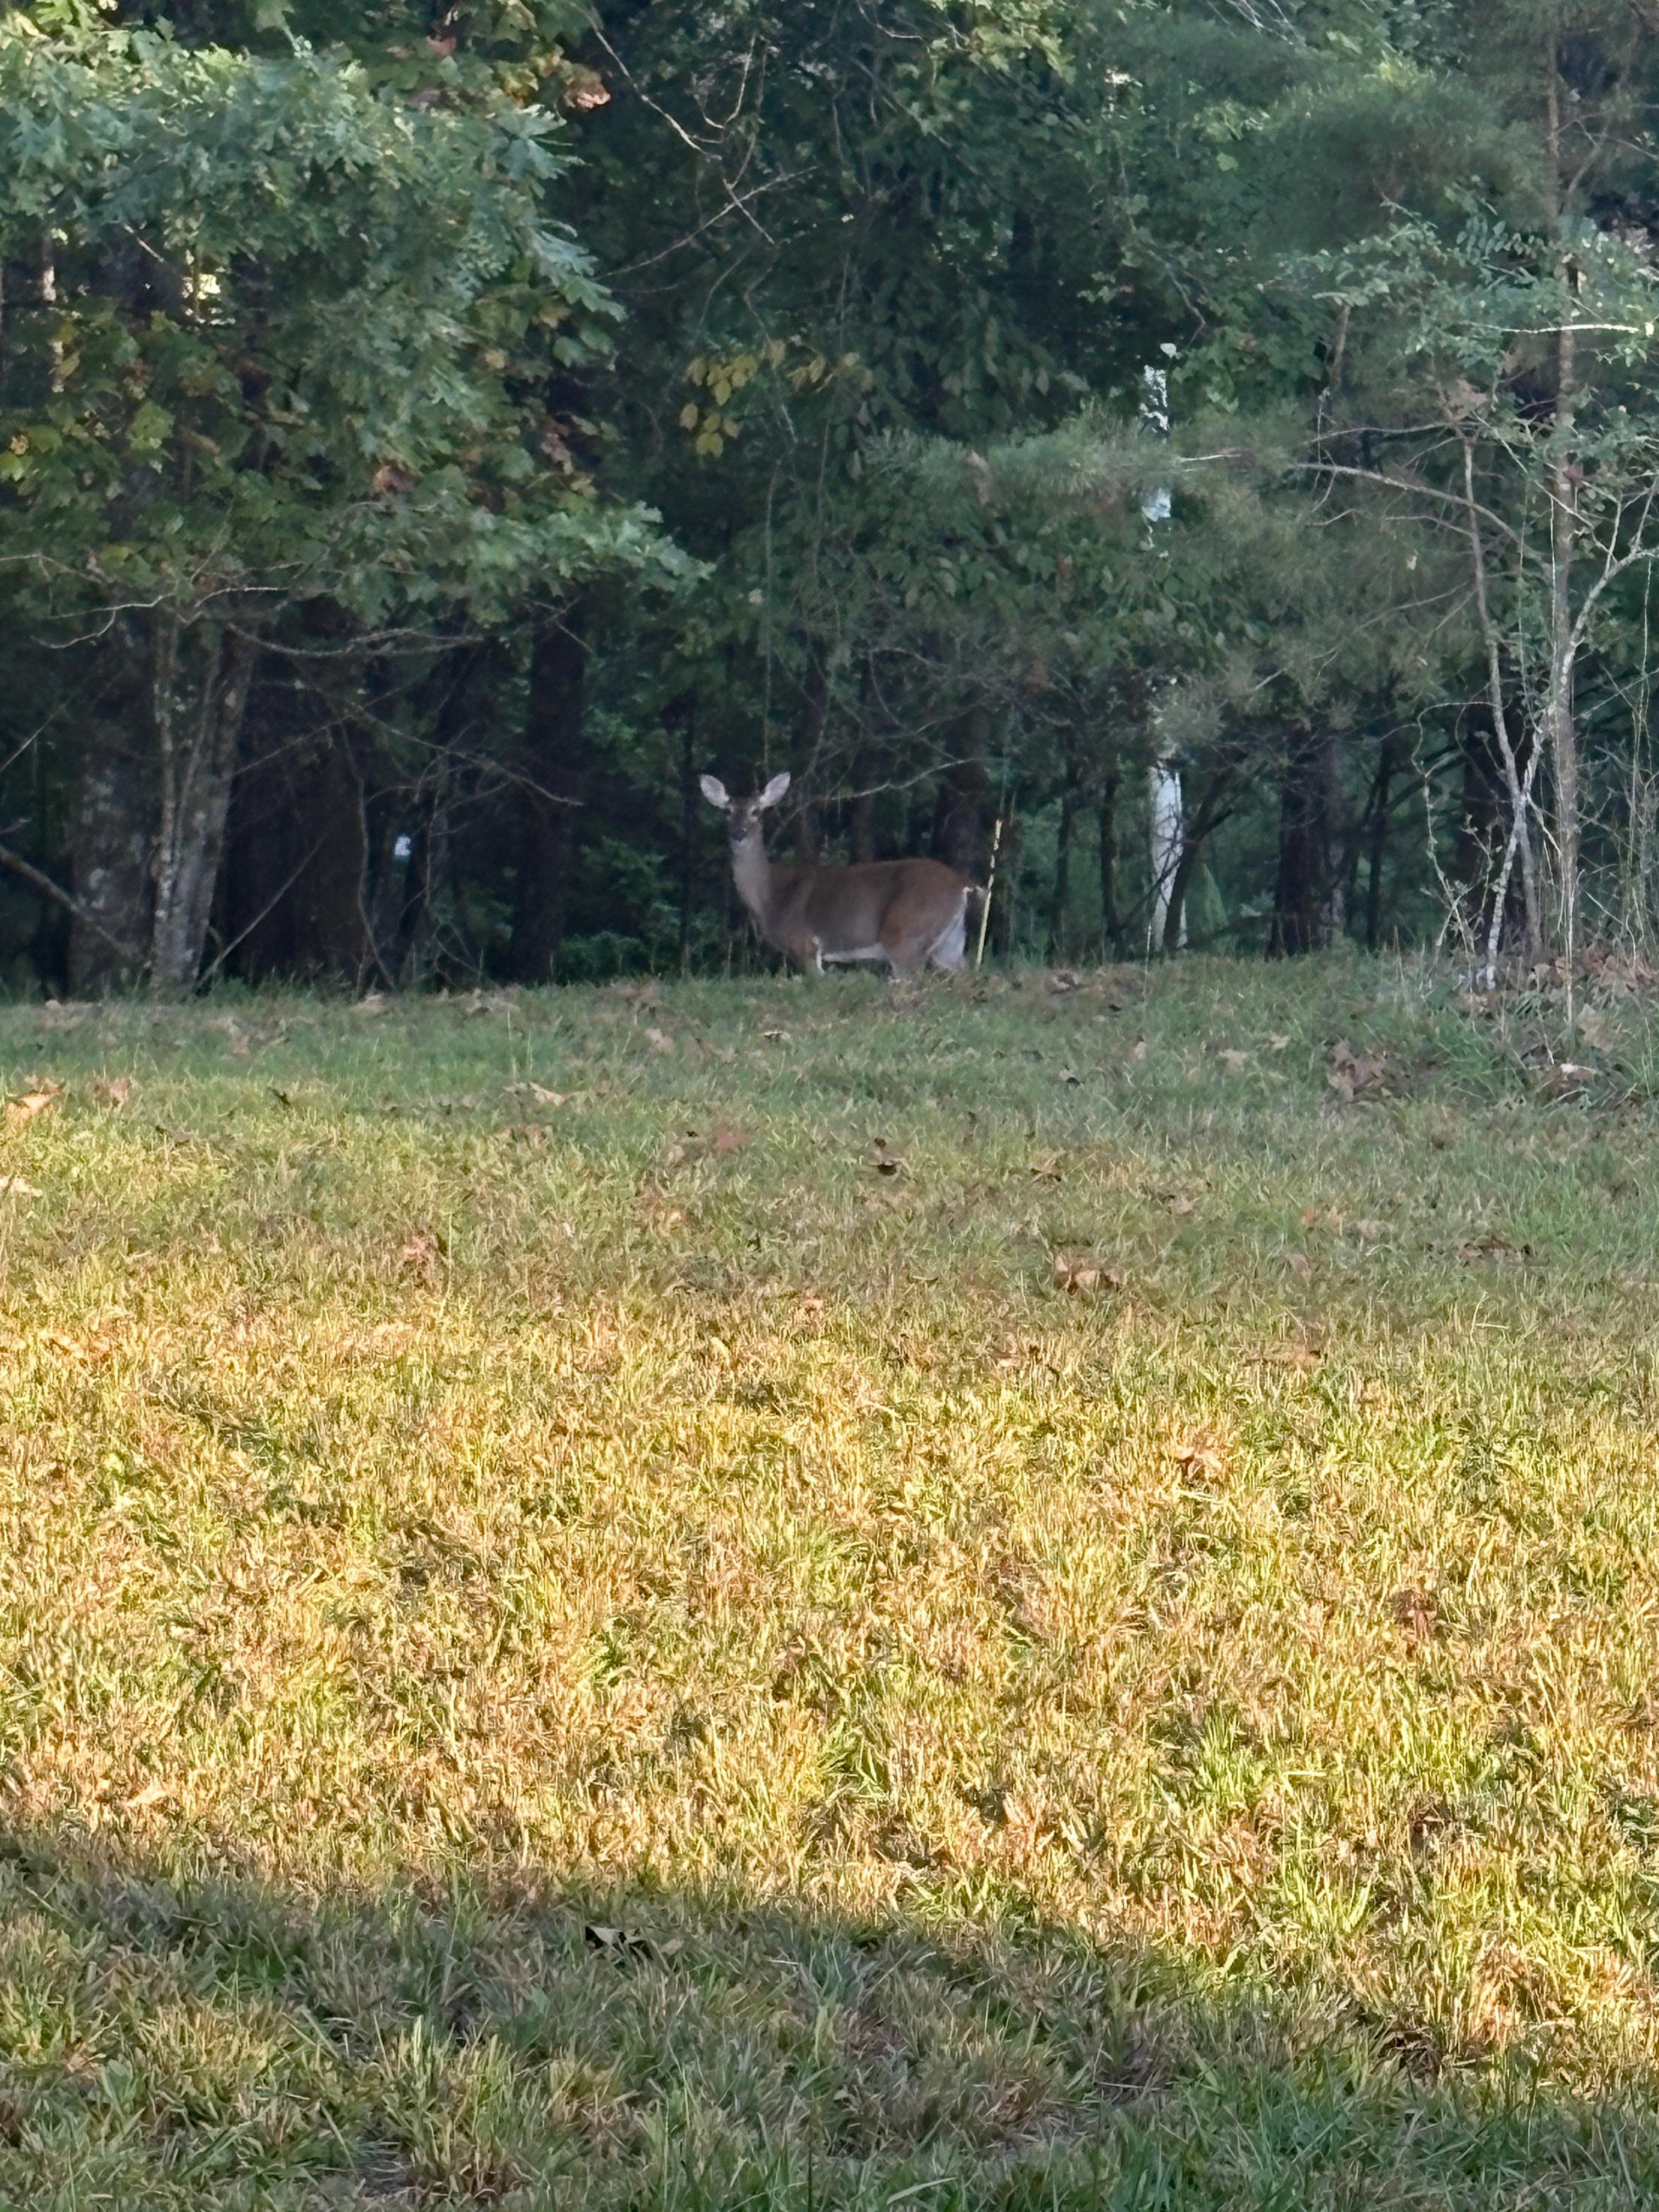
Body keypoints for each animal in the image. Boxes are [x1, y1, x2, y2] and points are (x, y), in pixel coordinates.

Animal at [700, 771, 982, 975]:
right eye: (727, 811)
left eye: (756, 811)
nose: (739, 833)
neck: (771, 896)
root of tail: (960, 881)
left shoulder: (805, 944)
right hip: (950, 942)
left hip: (906, 932)